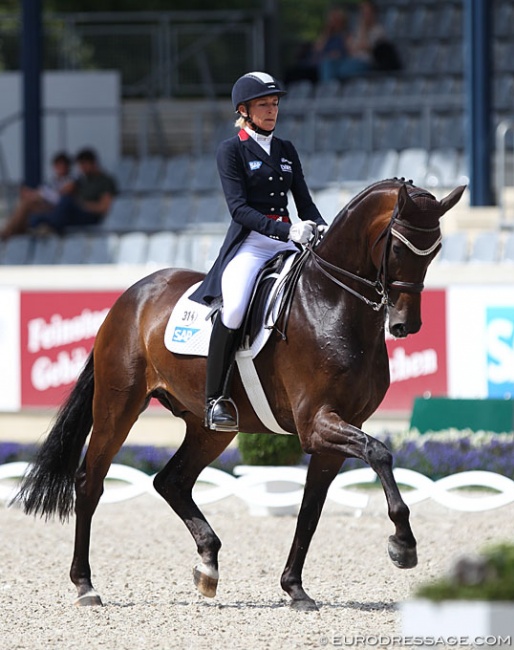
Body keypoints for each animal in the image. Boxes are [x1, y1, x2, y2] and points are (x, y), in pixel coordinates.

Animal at [15, 176, 464, 608]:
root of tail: (131, 296)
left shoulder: (335, 432)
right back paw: (85, 585)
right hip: (118, 404)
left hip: (210, 428)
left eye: (436, 249)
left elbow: (311, 509)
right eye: (399, 246)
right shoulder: (316, 424)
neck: (332, 303)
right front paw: (403, 545)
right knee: (90, 481)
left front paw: (295, 588)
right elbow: (379, 452)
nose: (406, 325)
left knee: (171, 480)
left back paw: (208, 565)